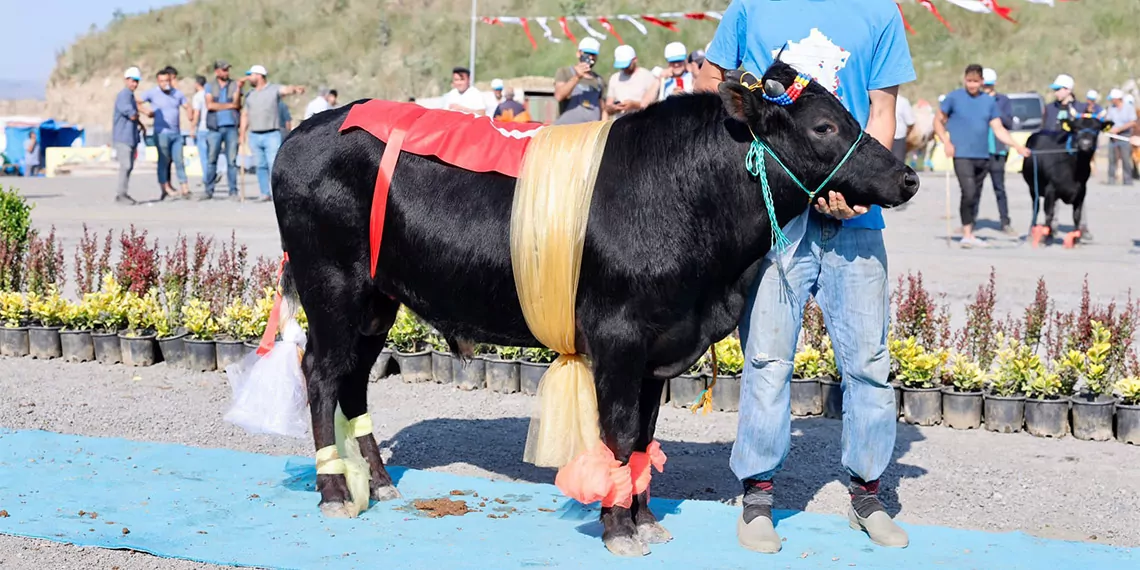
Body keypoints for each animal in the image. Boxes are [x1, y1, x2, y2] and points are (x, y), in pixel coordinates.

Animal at [266, 63, 916, 556]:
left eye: (853, 115)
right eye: (824, 125)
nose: (908, 176)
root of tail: (305, 131)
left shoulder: (660, 347)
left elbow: (645, 437)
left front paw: (645, 518)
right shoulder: (619, 337)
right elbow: (619, 434)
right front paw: (617, 528)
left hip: (377, 299)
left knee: (354, 382)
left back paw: (377, 484)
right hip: (332, 284)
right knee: (321, 375)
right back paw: (333, 493)